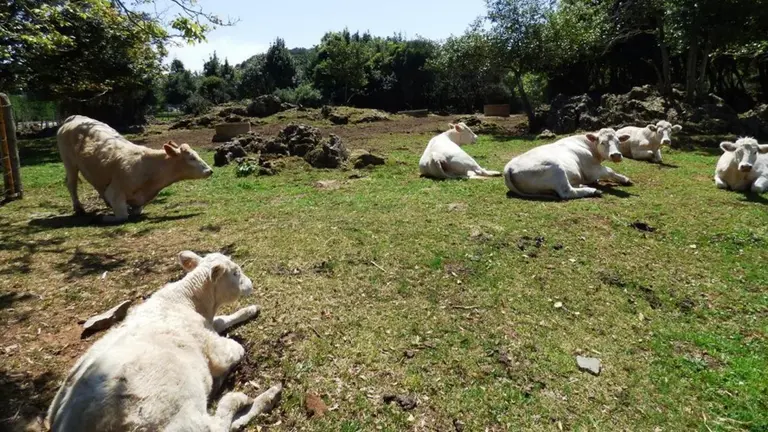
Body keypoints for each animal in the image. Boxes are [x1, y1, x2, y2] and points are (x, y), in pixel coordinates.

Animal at [46, 251, 283, 432]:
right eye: (235, 272)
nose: (251, 284)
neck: (191, 302)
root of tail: (65, 422)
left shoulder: (209, 324)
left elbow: (224, 319)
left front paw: (251, 309)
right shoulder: (215, 349)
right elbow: (237, 347)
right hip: (176, 415)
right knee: (218, 424)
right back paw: (252, 396)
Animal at [56, 115, 213, 223]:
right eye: (191, 158)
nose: (210, 170)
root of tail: (74, 118)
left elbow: (135, 211)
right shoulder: (115, 191)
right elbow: (123, 215)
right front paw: (104, 217)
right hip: (69, 163)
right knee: (71, 184)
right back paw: (79, 208)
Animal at [504, 128, 632, 200]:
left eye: (618, 141)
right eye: (602, 142)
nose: (616, 155)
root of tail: (509, 167)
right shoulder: (592, 169)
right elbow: (609, 171)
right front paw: (625, 179)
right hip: (556, 168)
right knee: (567, 192)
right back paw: (593, 191)